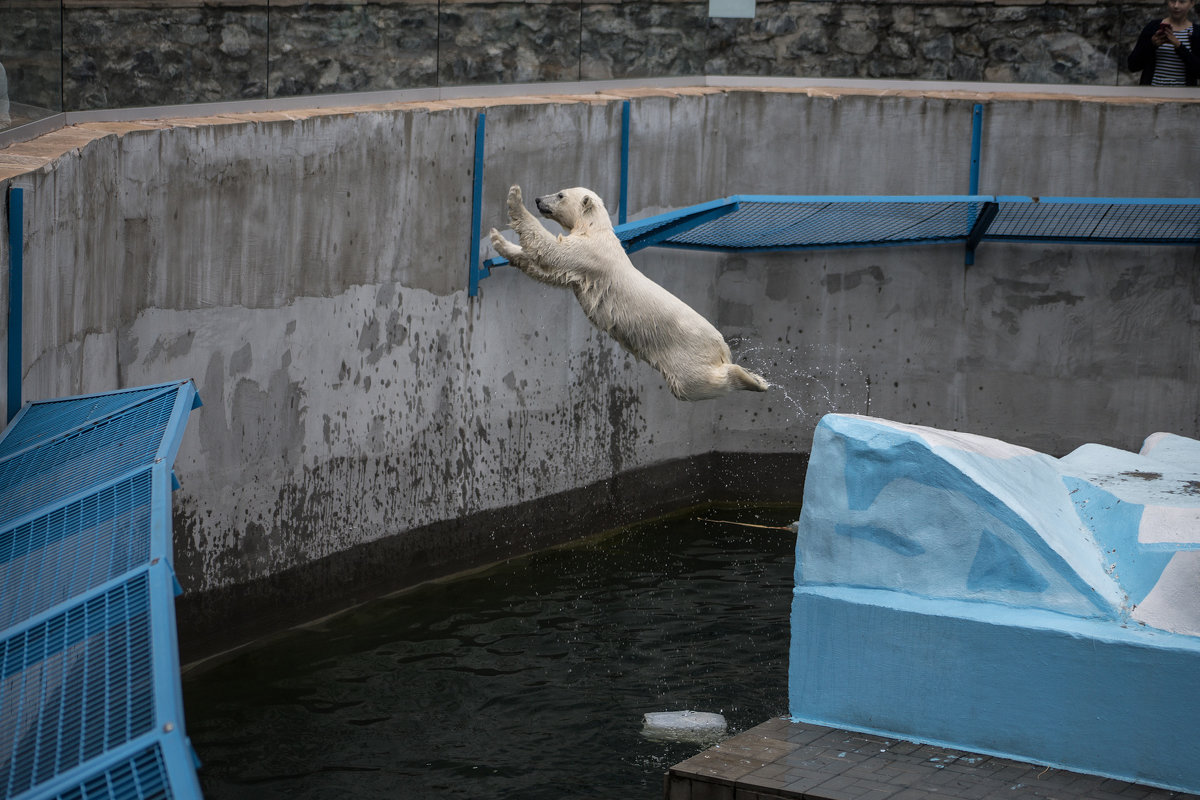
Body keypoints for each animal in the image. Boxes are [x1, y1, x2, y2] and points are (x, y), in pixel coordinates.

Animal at [487, 185, 768, 402]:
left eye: (560, 194)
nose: (538, 200)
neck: (595, 228)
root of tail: (721, 345)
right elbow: (546, 271)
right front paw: (499, 241)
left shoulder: (590, 255)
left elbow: (550, 251)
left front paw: (515, 198)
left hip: (686, 352)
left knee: (695, 384)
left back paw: (755, 380)